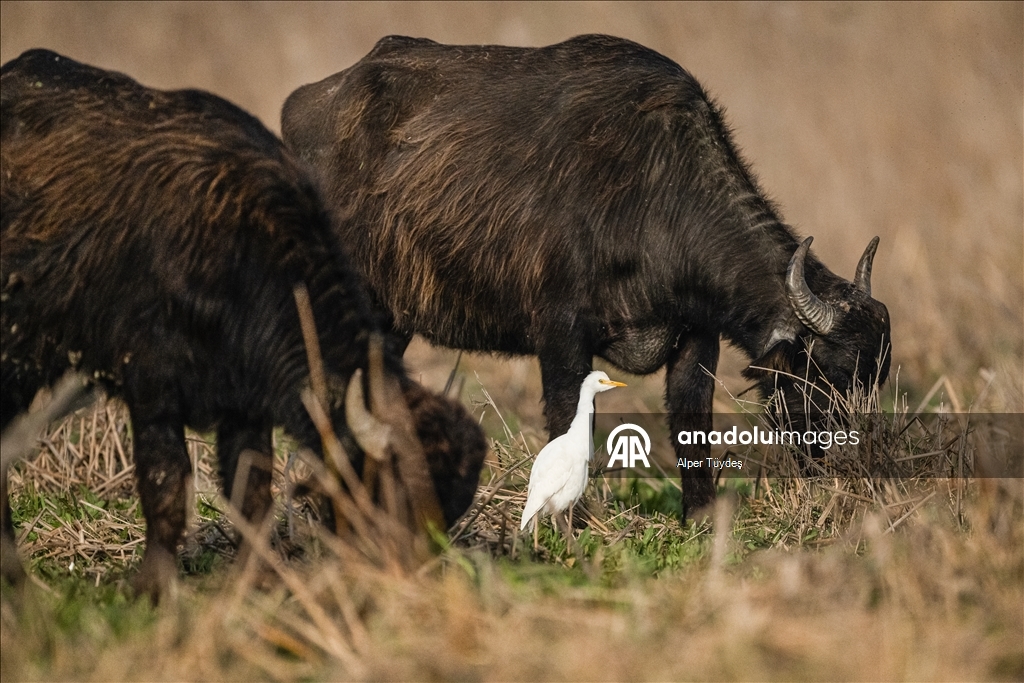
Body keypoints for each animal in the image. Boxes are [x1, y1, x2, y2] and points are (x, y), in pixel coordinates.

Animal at [0, 49, 487, 600]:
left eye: (450, 509)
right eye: (391, 487)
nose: (408, 573)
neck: (241, 252)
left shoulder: (245, 406)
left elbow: (250, 495)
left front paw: (256, 581)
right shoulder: (151, 388)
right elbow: (167, 487)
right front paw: (152, 588)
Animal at [281, 34, 892, 520]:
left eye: (877, 379)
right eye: (829, 378)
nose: (856, 469)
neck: (655, 196)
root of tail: (306, 104)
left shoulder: (697, 337)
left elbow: (691, 419)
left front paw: (699, 517)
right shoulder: (559, 333)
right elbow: (565, 424)